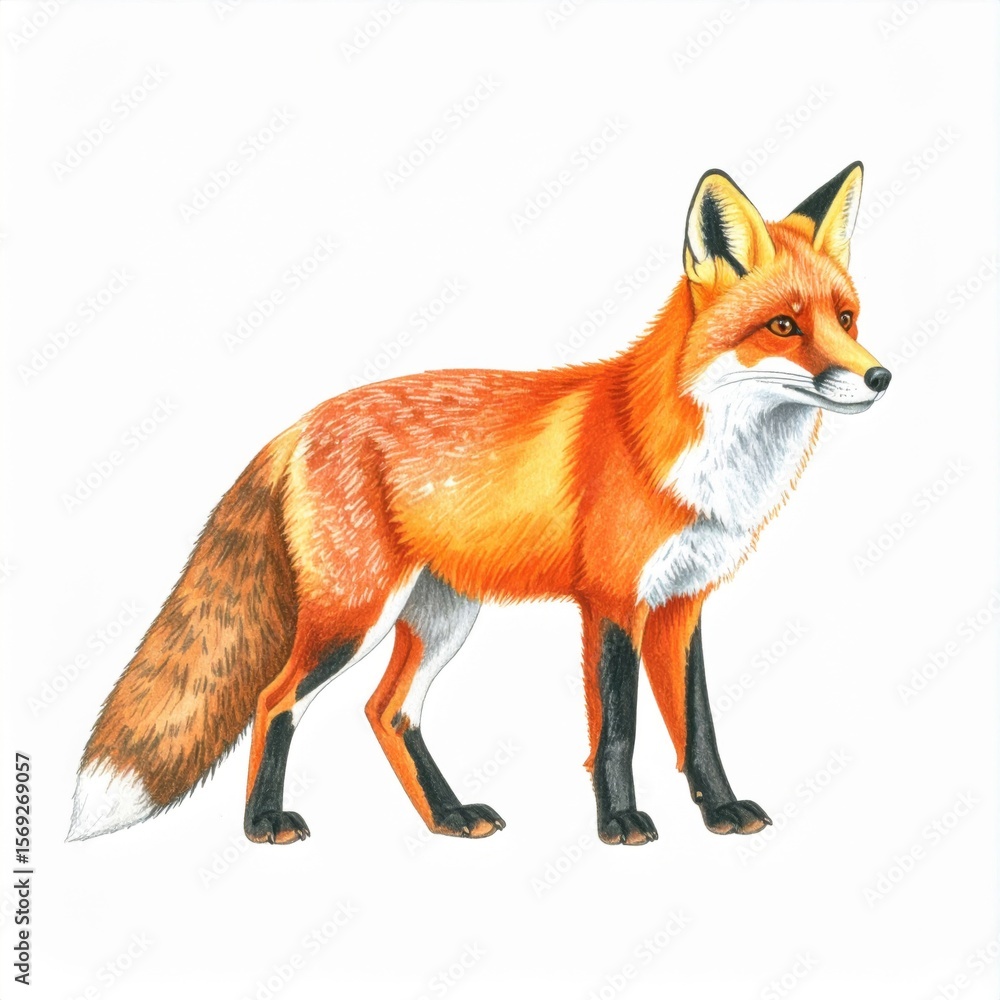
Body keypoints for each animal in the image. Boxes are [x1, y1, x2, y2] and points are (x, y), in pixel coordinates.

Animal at [69, 162, 890, 847]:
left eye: (846, 319)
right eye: (783, 326)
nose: (880, 377)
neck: (691, 457)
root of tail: (301, 423)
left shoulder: (681, 603)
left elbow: (700, 729)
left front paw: (721, 811)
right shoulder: (610, 602)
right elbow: (618, 731)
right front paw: (620, 824)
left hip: (441, 615)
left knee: (387, 711)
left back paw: (449, 816)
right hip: (354, 615)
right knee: (277, 700)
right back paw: (264, 823)